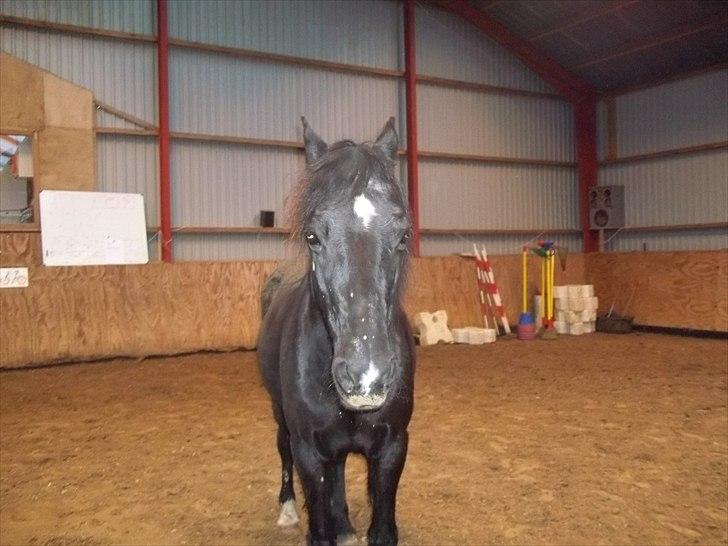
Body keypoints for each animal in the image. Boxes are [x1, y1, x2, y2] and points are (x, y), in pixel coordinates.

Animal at [257, 117, 415, 546]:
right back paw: (288, 509)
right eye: (312, 236)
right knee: (282, 450)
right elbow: (319, 523)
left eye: (404, 235)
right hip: (280, 416)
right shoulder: (309, 452)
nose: (366, 377)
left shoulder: (393, 448)